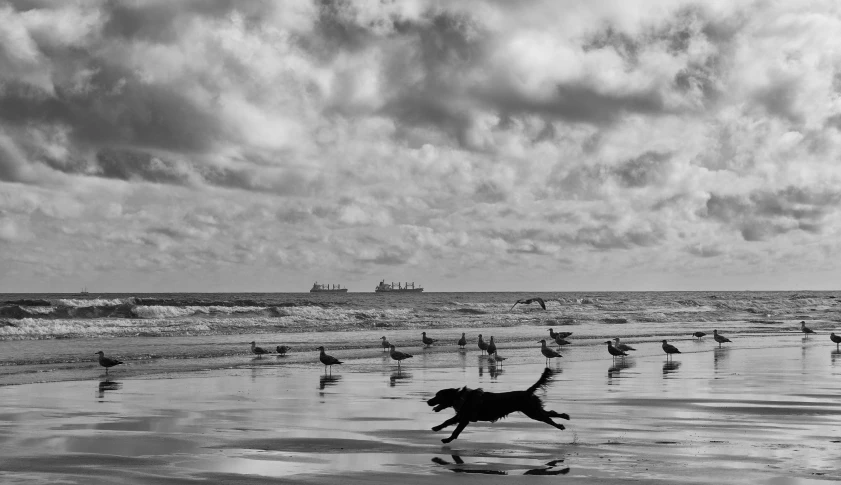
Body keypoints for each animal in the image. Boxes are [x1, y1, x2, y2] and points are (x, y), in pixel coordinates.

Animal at [426, 366, 572, 442]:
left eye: (438, 396)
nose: (428, 401)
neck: (462, 397)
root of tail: (527, 392)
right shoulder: (461, 415)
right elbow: (447, 421)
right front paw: (437, 428)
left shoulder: (465, 418)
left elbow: (456, 430)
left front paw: (447, 439)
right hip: (533, 409)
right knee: (550, 413)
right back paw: (565, 416)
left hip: (532, 412)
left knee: (548, 418)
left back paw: (559, 425)